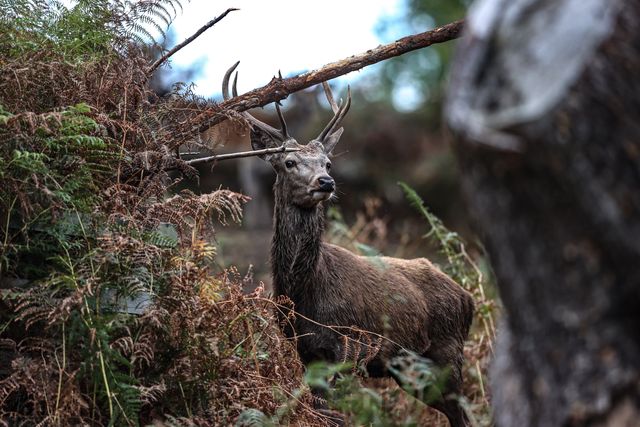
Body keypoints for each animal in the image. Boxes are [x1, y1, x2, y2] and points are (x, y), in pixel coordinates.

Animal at [222, 62, 474, 427]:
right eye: (288, 162)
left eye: (328, 163)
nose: (325, 182)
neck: (306, 293)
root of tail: (469, 298)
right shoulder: (307, 352)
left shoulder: (350, 345)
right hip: (412, 370)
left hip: (447, 354)